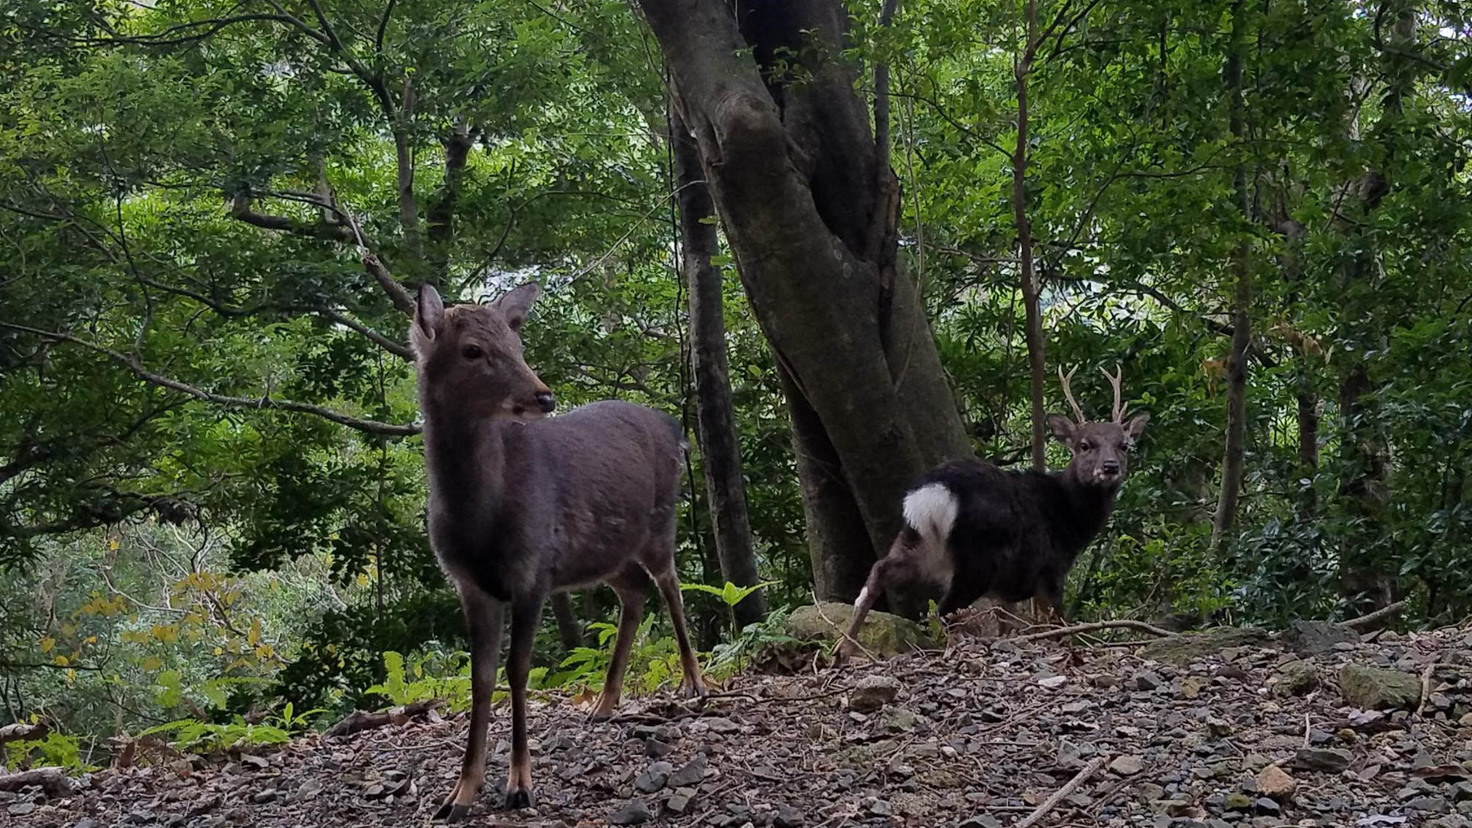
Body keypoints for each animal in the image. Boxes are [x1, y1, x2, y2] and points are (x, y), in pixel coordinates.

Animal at [412, 279, 709, 813]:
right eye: (473, 350)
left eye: (517, 344)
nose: (543, 395)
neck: (481, 519)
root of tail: (675, 427)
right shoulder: (470, 584)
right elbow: (480, 678)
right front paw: (460, 792)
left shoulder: (532, 569)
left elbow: (518, 669)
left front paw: (519, 784)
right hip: (604, 552)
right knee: (635, 592)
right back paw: (604, 703)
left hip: (661, 522)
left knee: (671, 586)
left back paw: (694, 683)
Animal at [841, 363, 1148, 660]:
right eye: (1085, 445)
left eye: (1124, 445)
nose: (1110, 467)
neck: (1070, 518)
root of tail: (934, 492)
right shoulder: (1051, 568)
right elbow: (1058, 623)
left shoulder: (1008, 590)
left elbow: (1007, 622)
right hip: (978, 559)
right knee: (943, 608)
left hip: (917, 541)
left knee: (879, 572)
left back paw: (842, 653)